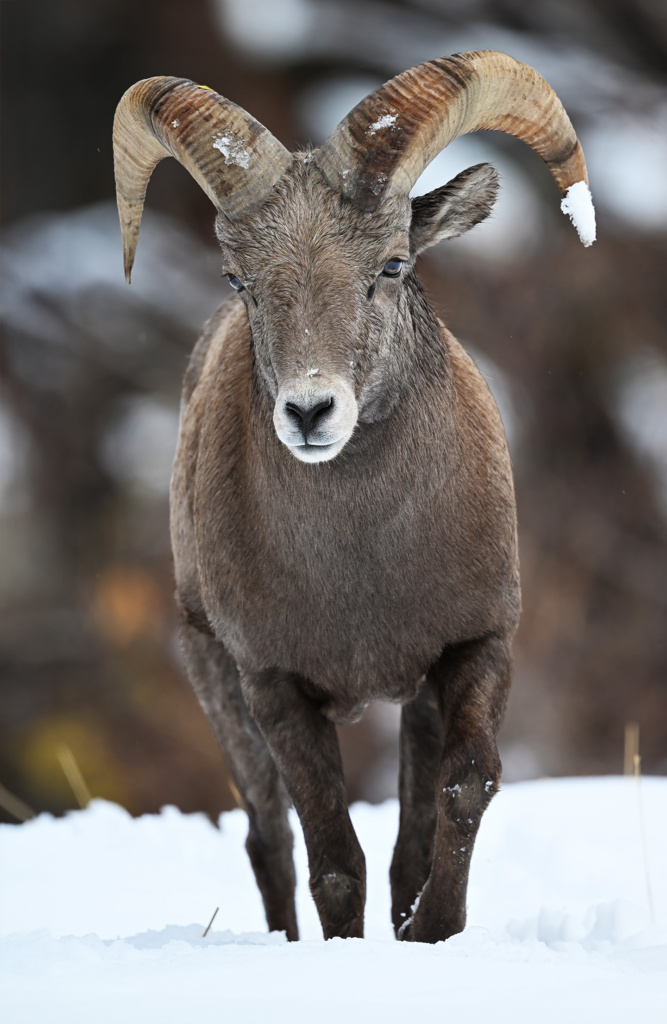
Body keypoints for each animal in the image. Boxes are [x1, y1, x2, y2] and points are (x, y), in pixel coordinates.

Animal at [113, 49, 594, 942]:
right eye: (239, 279)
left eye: (392, 265)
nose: (309, 412)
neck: (360, 564)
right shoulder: (273, 688)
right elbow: (334, 860)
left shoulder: (471, 651)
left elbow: (459, 792)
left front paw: (432, 932)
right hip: (213, 678)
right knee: (268, 840)